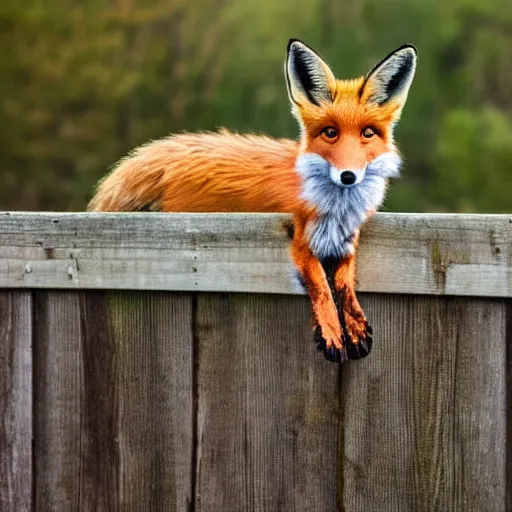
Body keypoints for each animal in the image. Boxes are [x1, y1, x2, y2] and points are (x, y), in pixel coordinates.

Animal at [88, 39, 416, 364]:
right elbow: (322, 288)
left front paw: (356, 327)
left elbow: (345, 286)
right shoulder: (300, 241)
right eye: (330, 133)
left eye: (368, 133)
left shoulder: (348, 241)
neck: (337, 210)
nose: (348, 176)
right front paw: (332, 333)